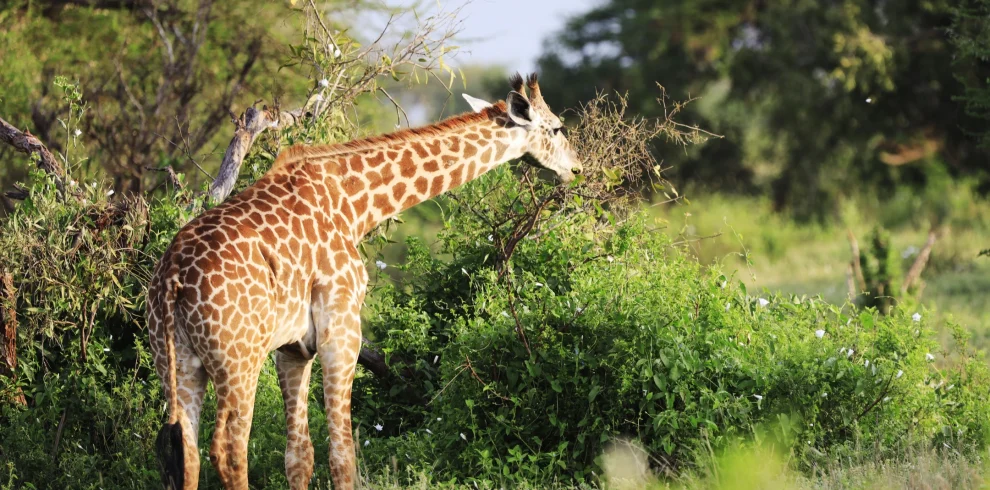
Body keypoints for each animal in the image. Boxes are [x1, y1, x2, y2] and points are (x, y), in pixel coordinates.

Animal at [146, 73, 582, 490]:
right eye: (558, 128)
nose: (576, 168)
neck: (355, 204)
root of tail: (171, 279)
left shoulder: (292, 348)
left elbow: (299, 457)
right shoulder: (341, 329)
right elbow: (343, 456)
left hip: (177, 361)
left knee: (188, 454)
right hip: (238, 359)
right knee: (228, 450)